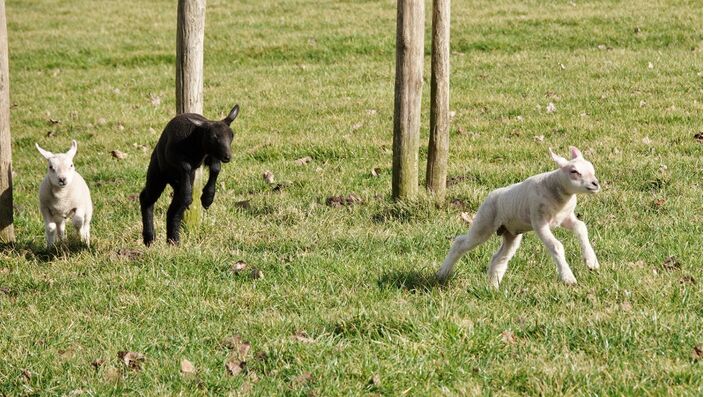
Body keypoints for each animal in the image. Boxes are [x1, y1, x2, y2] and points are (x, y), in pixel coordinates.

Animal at [139, 103, 241, 244]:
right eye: (213, 137)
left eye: (231, 136)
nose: (227, 156)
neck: (195, 144)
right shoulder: (172, 155)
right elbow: (186, 167)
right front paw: (192, 196)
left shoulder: (210, 154)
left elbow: (216, 168)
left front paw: (207, 198)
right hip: (157, 173)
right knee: (147, 198)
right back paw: (149, 238)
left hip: (177, 182)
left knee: (174, 209)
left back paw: (173, 240)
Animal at [438, 145, 604, 288]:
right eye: (574, 171)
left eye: (592, 169)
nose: (595, 184)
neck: (557, 191)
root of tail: (491, 195)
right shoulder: (539, 221)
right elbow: (556, 245)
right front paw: (568, 277)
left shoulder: (565, 218)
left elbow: (581, 227)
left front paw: (591, 261)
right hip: (484, 222)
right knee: (460, 243)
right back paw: (443, 273)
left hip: (511, 233)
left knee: (499, 258)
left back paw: (493, 287)